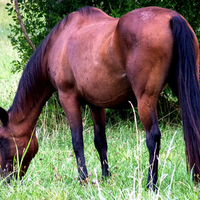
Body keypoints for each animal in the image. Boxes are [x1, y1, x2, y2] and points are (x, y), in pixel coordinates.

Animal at [0, 6, 200, 190]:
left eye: (2, 140)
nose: (5, 181)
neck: (59, 41)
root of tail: (171, 17)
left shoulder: (67, 97)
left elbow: (77, 141)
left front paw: (83, 179)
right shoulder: (96, 104)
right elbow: (100, 141)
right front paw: (105, 177)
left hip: (146, 99)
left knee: (153, 138)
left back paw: (151, 184)